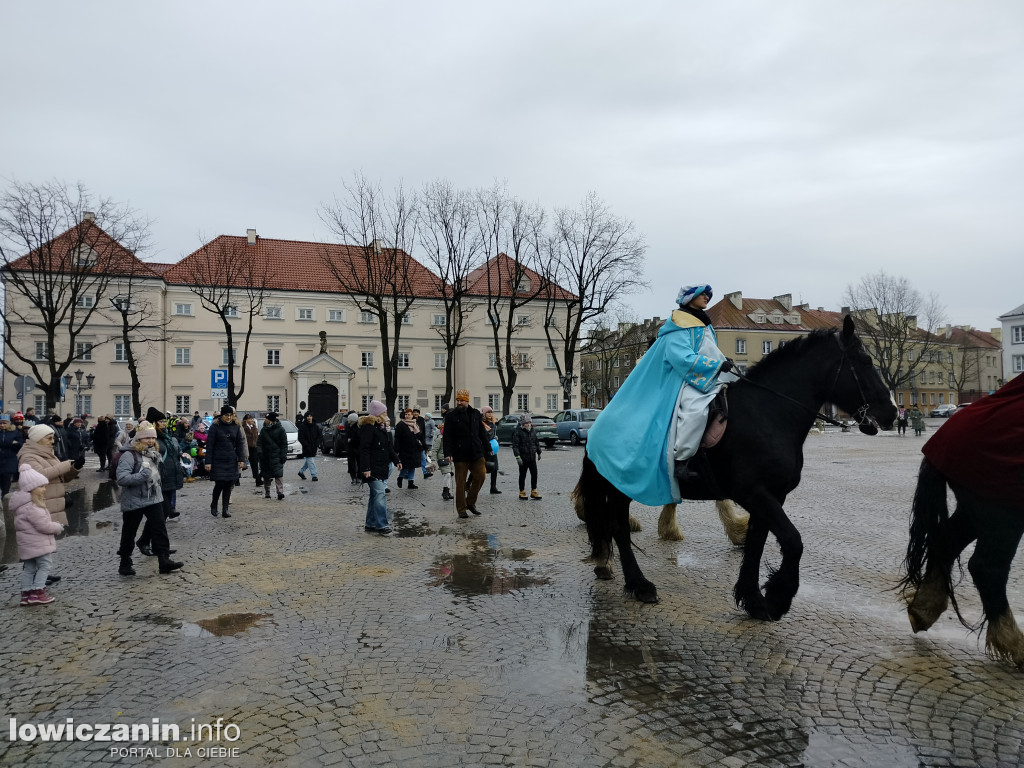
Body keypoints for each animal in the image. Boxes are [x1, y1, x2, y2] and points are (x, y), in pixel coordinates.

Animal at [577, 315, 897, 622]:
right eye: (866, 361)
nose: (892, 412)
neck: (767, 413)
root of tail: (599, 420)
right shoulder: (754, 493)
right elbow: (793, 541)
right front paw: (778, 597)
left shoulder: (772, 497)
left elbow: (756, 544)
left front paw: (754, 599)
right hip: (619, 486)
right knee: (619, 528)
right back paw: (639, 585)